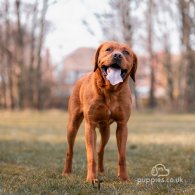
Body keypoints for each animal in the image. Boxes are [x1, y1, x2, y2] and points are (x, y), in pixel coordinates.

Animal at [62, 40, 137, 181]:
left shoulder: (122, 125)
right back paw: (66, 172)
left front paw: (124, 178)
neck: (110, 90)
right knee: (70, 150)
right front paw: (91, 178)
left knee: (100, 150)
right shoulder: (90, 126)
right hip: (72, 125)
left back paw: (101, 171)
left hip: (105, 131)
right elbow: (91, 156)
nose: (117, 55)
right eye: (108, 49)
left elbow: (122, 156)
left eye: (126, 52)